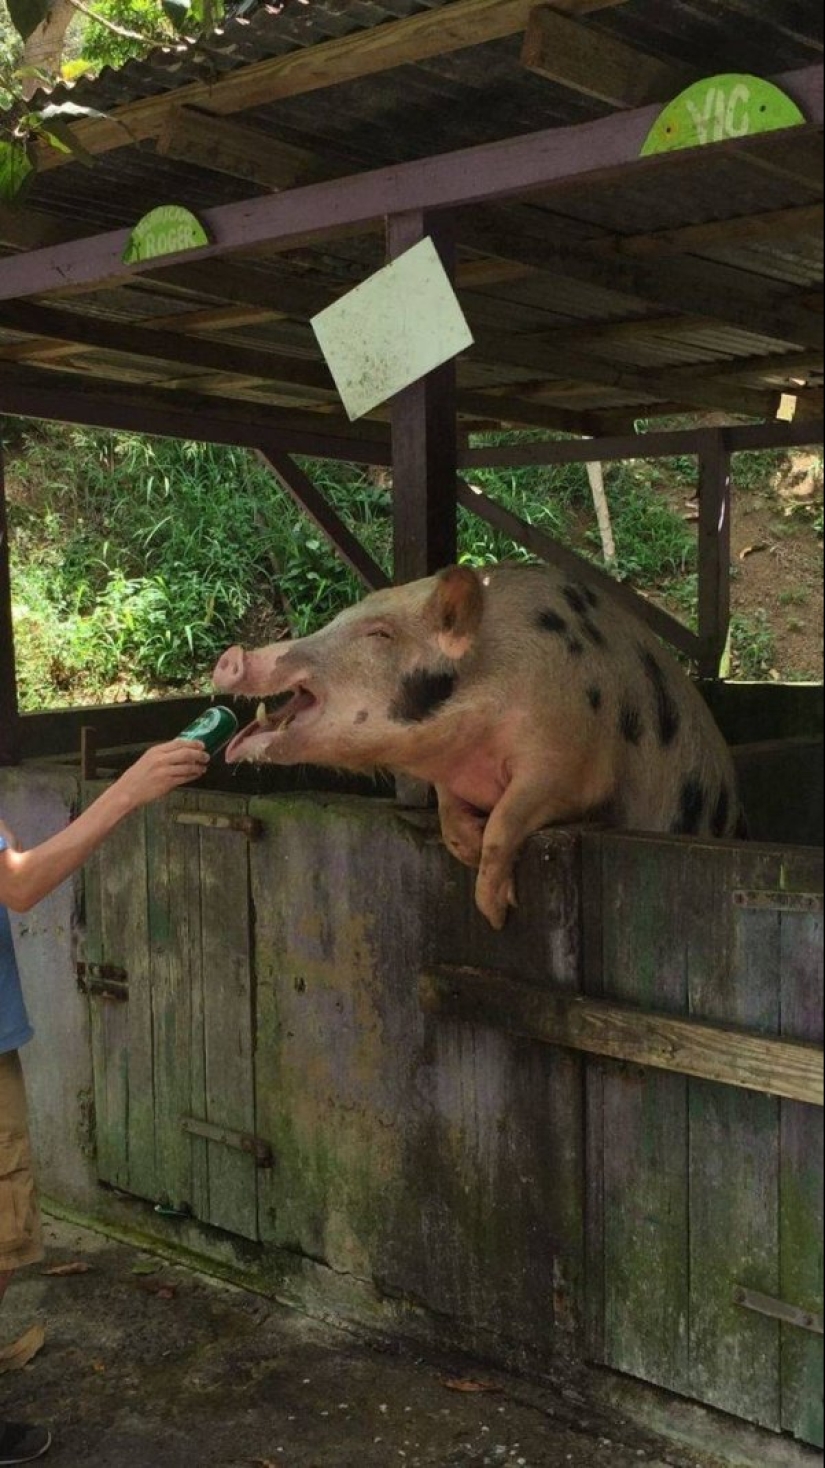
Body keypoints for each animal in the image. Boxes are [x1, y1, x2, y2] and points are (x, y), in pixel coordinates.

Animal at [211, 560, 739, 927]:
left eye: (379, 634)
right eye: (334, 620)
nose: (233, 656)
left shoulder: (566, 764)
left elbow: (506, 822)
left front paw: (496, 912)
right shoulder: (450, 773)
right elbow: (448, 815)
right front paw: (464, 848)